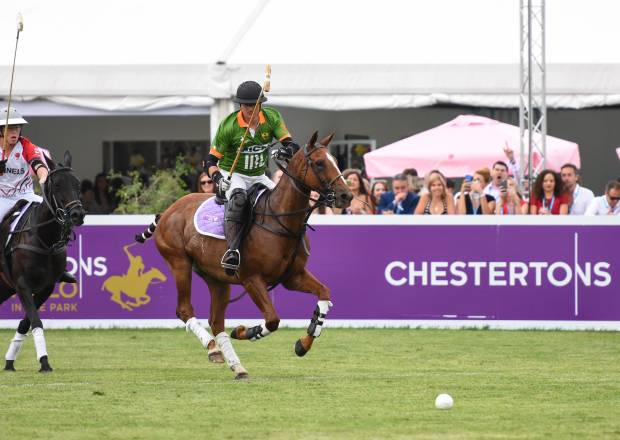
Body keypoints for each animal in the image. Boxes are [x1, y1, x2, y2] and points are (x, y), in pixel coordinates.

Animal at [0, 153, 84, 372]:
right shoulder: (22, 284)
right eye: (57, 185)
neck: (43, 238)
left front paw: (10, 361)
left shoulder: (47, 286)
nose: (77, 215)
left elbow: (27, 322)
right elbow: (36, 321)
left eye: (78, 183)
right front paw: (44, 362)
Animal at [137, 132, 352, 380]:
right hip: (179, 263)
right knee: (184, 309)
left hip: (217, 278)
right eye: (319, 163)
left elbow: (324, 294)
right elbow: (272, 320)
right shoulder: (252, 279)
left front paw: (303, 344)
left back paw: (237, 366)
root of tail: (167, 211)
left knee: (216, 320)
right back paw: (213, 348)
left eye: (335, 160)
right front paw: (245, 331)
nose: (346, 195)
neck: (280, 221)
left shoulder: (293, 277)